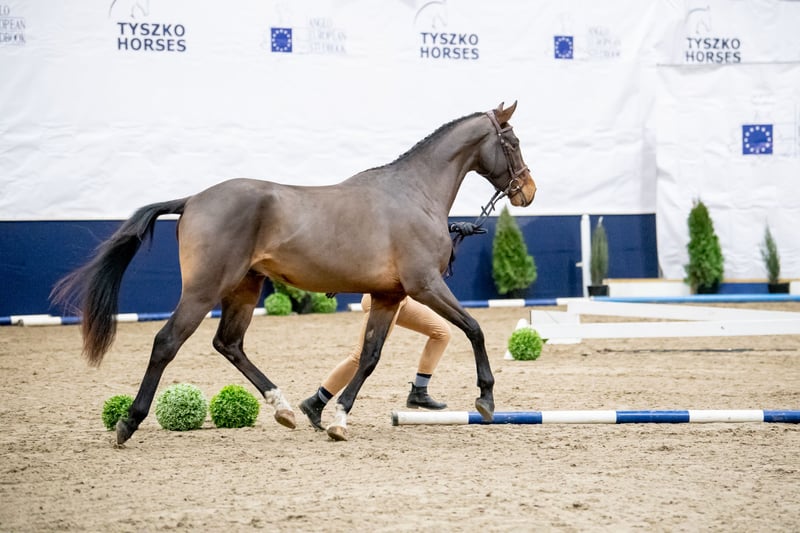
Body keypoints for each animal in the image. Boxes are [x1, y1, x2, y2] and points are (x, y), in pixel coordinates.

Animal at [52, 101, 536, 444]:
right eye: (512, 142)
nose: (528, 190)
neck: (414, 193)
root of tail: (193, 200)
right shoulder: (425, 286)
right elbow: (474, 329)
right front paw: (486, 398)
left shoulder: (390, 296)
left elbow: (369, 357)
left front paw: (337, 419)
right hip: (204, 291)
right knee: (167, 342)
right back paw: (127, 423)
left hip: (244, 289)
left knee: (229, 344)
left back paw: (283, 408)